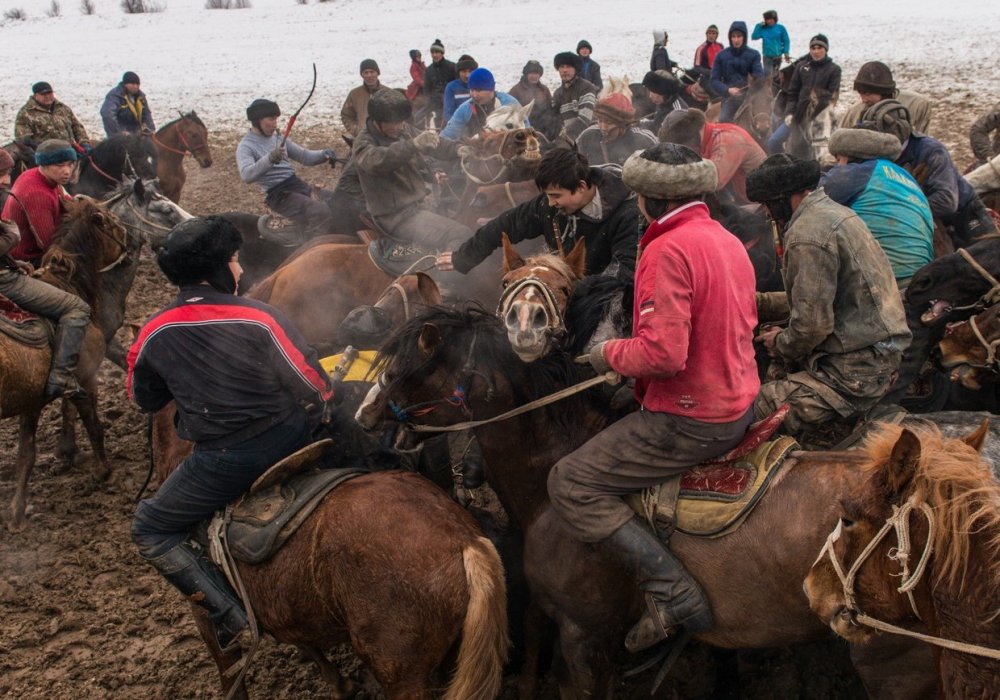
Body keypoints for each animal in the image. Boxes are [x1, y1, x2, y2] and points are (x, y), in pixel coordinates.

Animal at [0, 197, 131, 532]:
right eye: (110, 219)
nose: (130, 239)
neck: (67, 283)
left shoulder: (30, 401)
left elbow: (26, 455)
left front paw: (16, 512)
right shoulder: (86, 380)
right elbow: (94, 426)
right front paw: (103, 471)